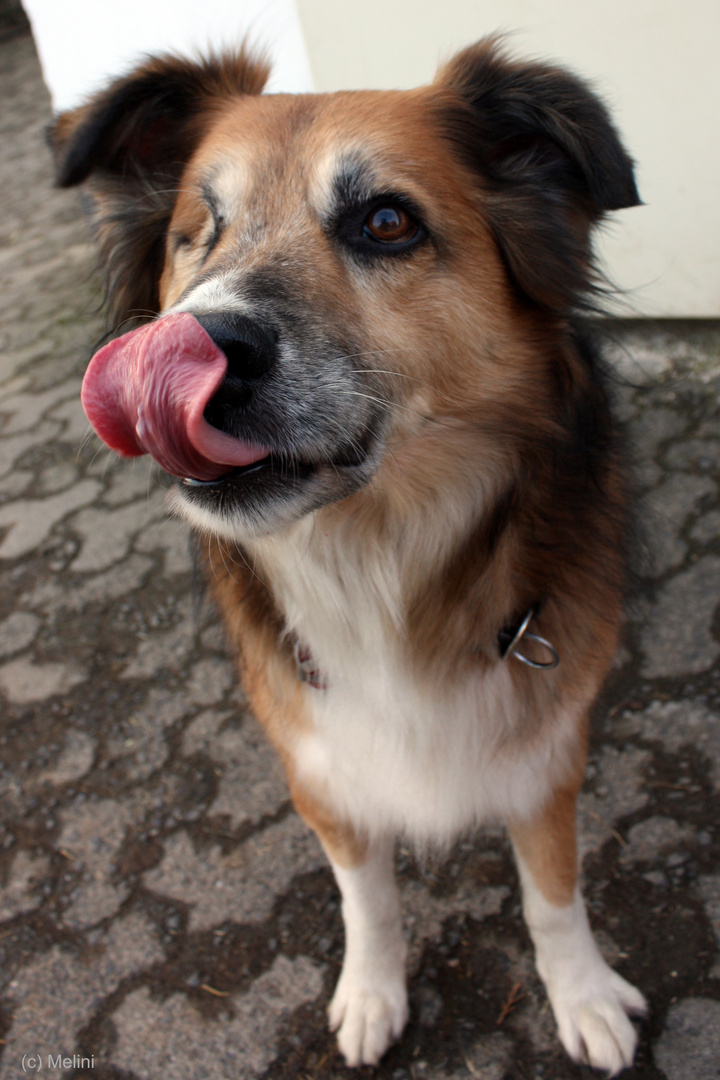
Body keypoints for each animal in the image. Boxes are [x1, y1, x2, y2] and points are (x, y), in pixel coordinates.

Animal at [50, 38, 647, 1075]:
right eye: (196, 233)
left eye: (386, 221)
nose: (189, 342)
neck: (374, 561)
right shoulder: (320, 764)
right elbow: (364, 898)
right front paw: (371, 994)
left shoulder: (545, 754)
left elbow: (552, 896)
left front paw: (582, 997)